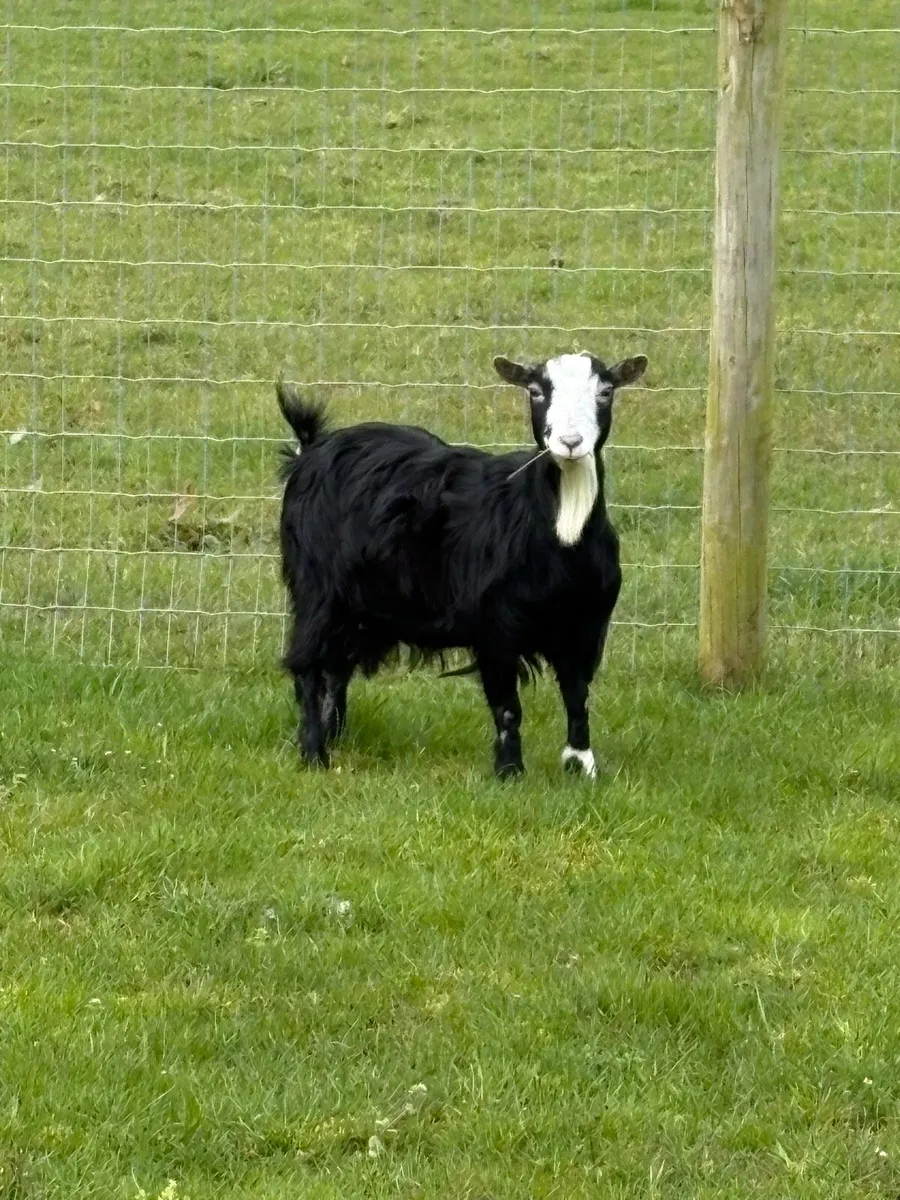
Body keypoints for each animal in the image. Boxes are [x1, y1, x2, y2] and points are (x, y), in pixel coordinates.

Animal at [277, 349, 647, 778]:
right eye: (535, 391)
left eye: (606, 391)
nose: (570, 442)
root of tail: (311, 449)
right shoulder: (496, 627)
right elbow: (507, 707)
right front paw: (509, 773)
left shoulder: (585, 625)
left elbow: (577, 698)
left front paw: (582, 767)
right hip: (316, 590)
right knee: (307, 666)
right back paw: (314, 755)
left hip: (359, 606)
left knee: (337, 667)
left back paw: (334, 738)